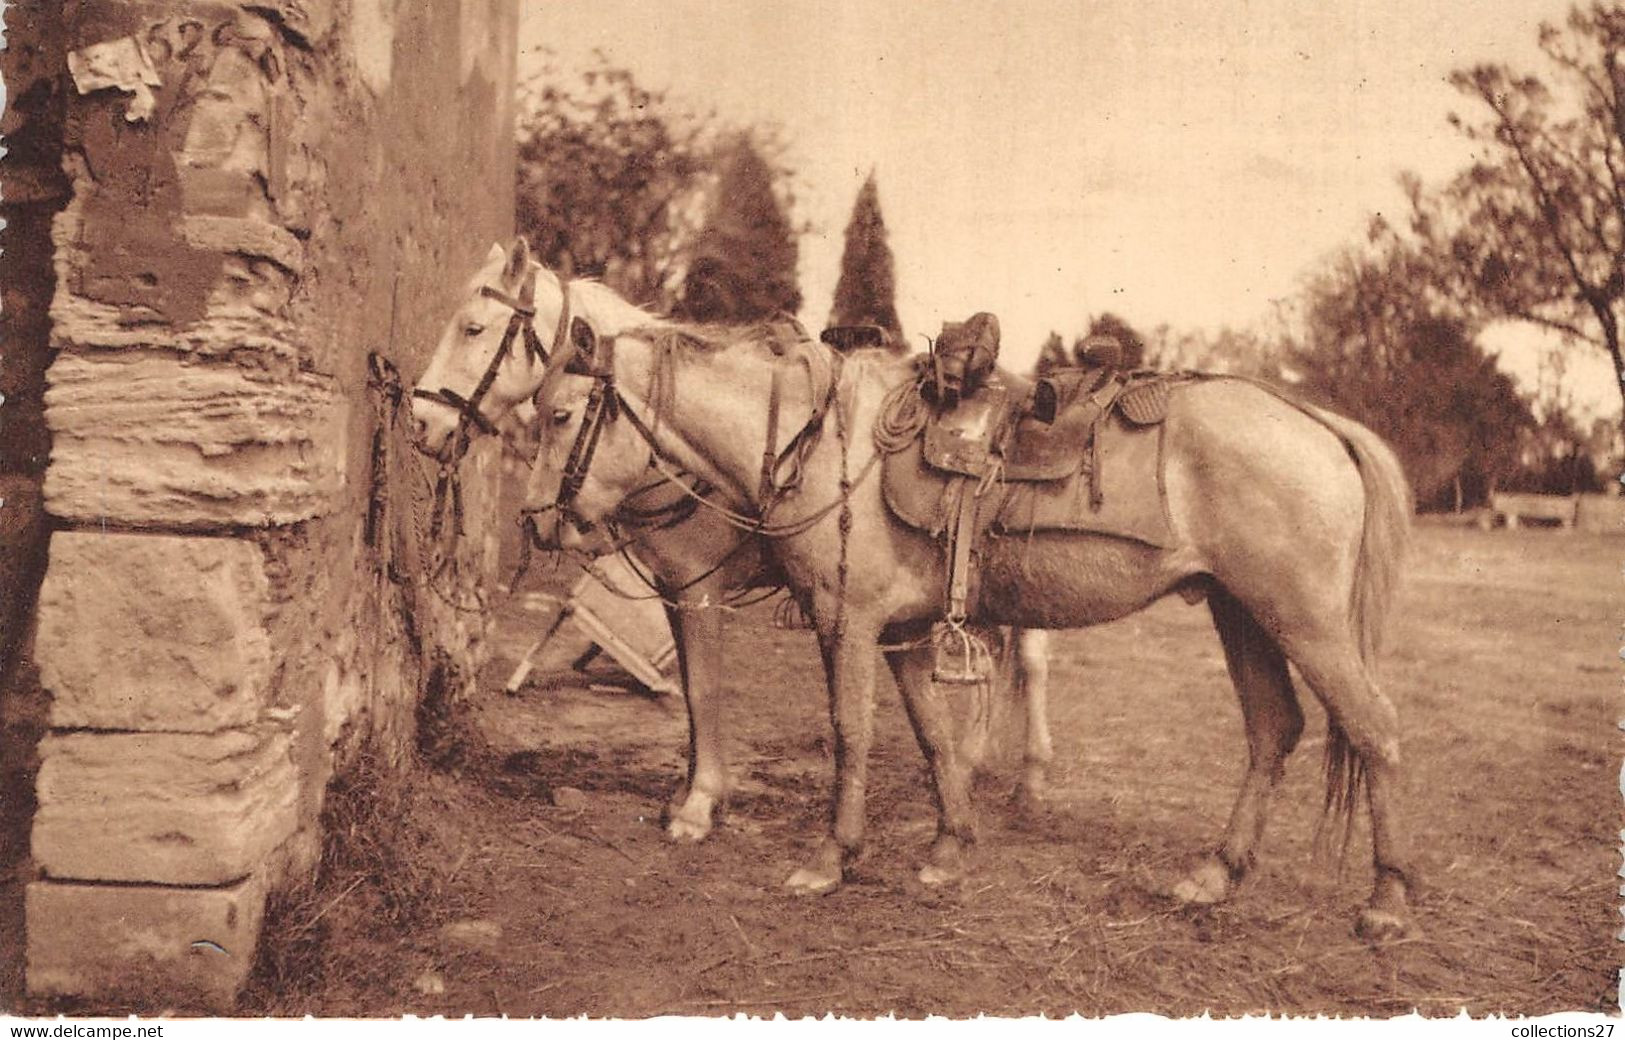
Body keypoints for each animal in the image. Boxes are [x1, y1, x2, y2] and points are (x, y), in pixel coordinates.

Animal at [484, 247, 1423, 936]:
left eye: (561, 416)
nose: (533, 520)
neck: (825, 446)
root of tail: (1319, 423)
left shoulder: (844, 623)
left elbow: (851, 734)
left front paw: (828, 859)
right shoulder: (902, 631)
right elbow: (935, 736)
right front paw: (946, 849)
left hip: (1301, 620)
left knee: (1373, 726)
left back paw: (1384, 900)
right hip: (1241, 612)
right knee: (1273, 729)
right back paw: (1213, 875)